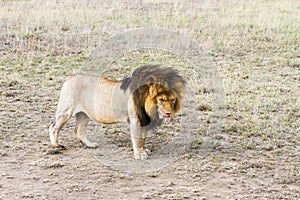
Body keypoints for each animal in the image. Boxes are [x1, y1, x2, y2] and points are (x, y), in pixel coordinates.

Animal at [49, 64, 185, 159]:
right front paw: (139, 154)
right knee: (53, 127)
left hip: (84, 114)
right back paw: (56, 146)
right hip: (66, 111)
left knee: (79, 130)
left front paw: (143, 151)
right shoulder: (135, 119)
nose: (169, 113)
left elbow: (142, 139)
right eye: (161, 100)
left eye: (172, 100)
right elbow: (137, 139)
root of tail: (68, 78)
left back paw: (90, 145)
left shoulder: (143, 120)